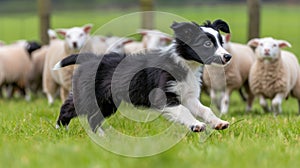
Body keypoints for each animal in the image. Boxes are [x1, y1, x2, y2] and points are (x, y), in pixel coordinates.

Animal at [54, 19, 232, 133]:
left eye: (221, 43)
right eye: (207, 44)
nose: (228, 56)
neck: (186, 64)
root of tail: (90, 58)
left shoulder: (188, 96)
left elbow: (205, 109)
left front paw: (218, 123)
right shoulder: (164, 97)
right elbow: (183, 111)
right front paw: (197, 125)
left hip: (107, 102)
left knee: (93, 118)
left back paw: (103, 137)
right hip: (89, 95)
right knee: (68, 108)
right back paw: (60, 130)